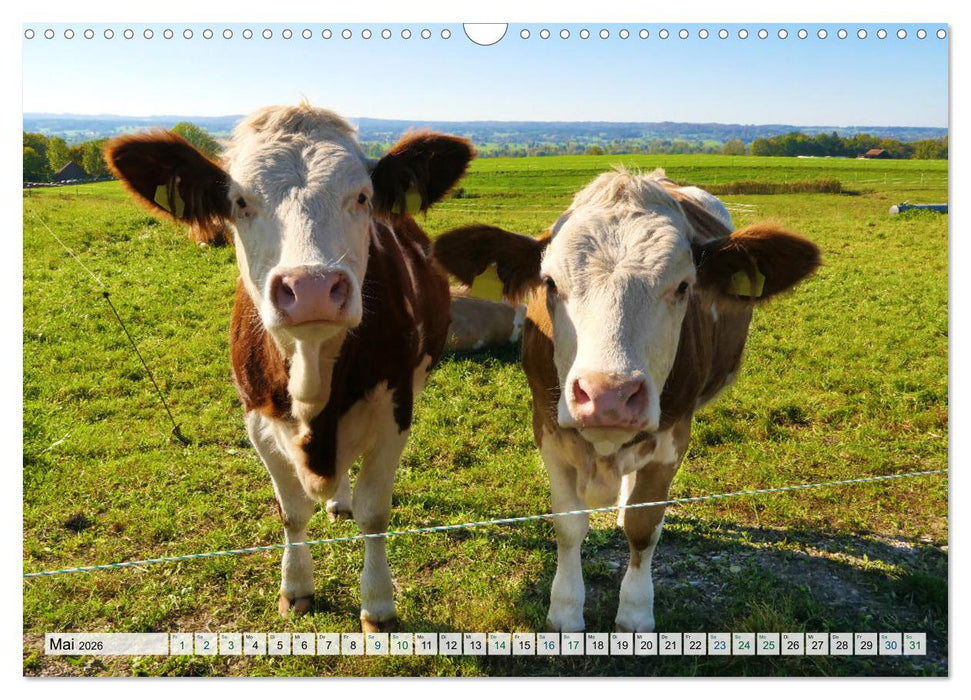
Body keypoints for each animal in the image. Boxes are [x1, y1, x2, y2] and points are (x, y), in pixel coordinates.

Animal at [104, 103, 473, 631]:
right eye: (239, 201)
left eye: (362, 196)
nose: (312, 287)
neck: (312, 373)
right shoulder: (257, 419)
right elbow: (292, 512)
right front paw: (296, 587)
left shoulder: (395, 410)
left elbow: (374, 514)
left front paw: (378, 604)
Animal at [432, 168, 820, 632]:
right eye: (550, 283)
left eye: (684, 286)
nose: (608, 395)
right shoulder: (547, 430)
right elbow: (568, 524)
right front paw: (565, 610)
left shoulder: (673, 438)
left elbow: (643, 526)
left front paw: (635, 612)